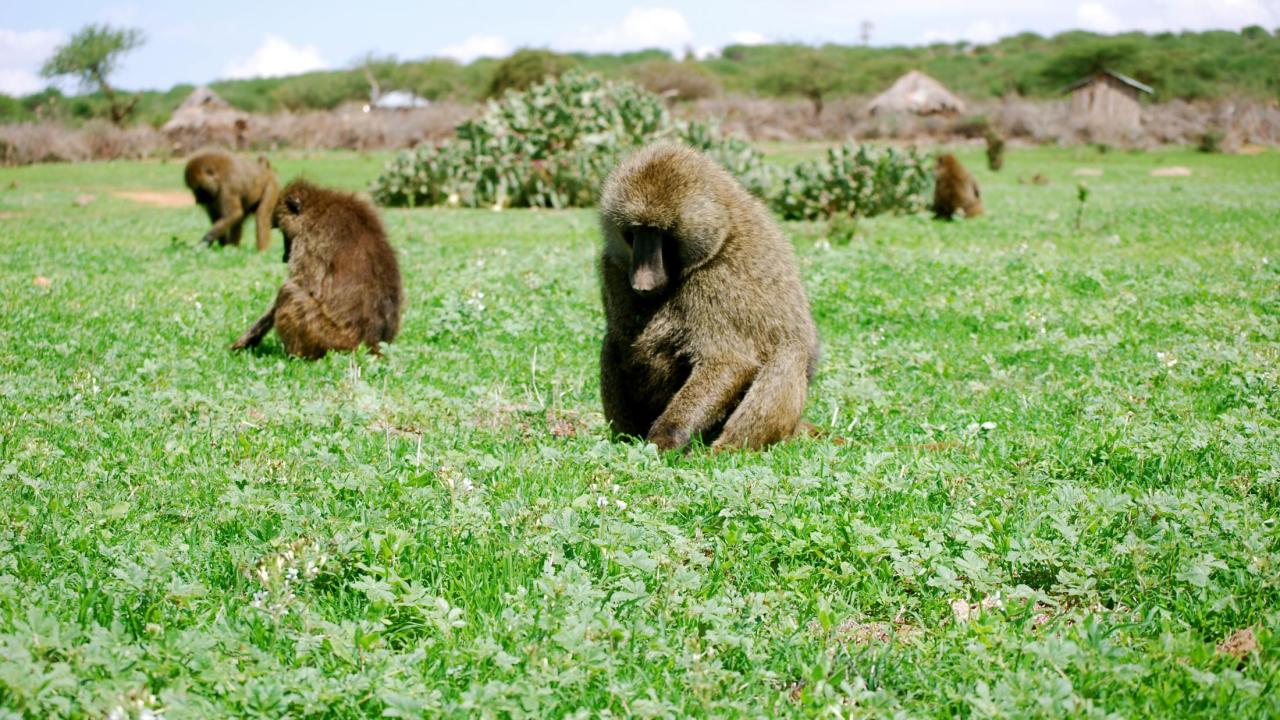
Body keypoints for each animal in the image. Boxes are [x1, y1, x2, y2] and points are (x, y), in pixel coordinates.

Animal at [230, 179, 403, 359]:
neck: (318, 205)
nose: (284, 257)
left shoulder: (310, 237)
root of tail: (373, 345)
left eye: (284, 234)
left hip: (333, 340)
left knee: (289, 291)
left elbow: (305, 285)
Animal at [598, 143, 819, 452]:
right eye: (635, 232)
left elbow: (728, 361)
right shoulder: (613, 267)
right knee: (611, 344)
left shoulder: (719, 278)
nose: (642, 282)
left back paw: (724, 450)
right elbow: (626, 342)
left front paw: (666, 438)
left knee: (790, 354)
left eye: (660, 233)